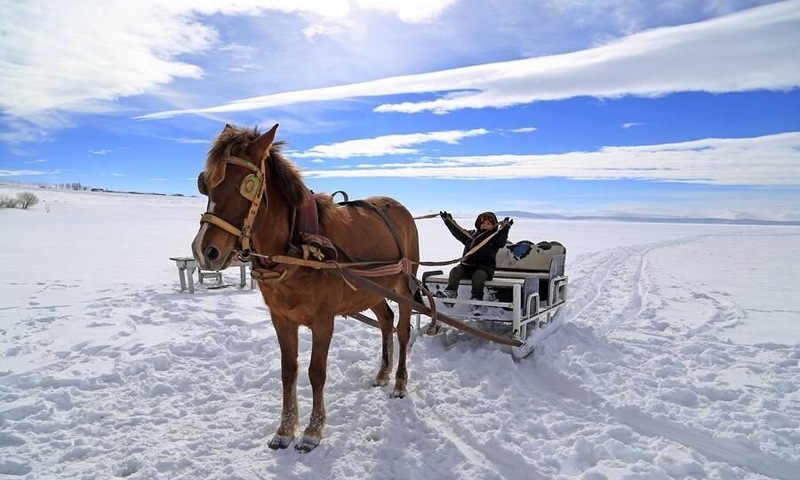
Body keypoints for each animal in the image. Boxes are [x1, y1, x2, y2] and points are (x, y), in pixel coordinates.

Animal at [191, 124, 422, 454]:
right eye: (206, 184)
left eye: (244, 185)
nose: (204, 251)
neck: (298, 248)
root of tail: (401, 209)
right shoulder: (281, 318)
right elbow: (288, 370)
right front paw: (285, 430)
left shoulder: (323, 321)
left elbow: (316, 372)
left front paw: (313, 431)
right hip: (373, 290)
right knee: (385, 321)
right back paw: (382, 373)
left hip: (403, 285)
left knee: (402, 329)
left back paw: (400, 383)